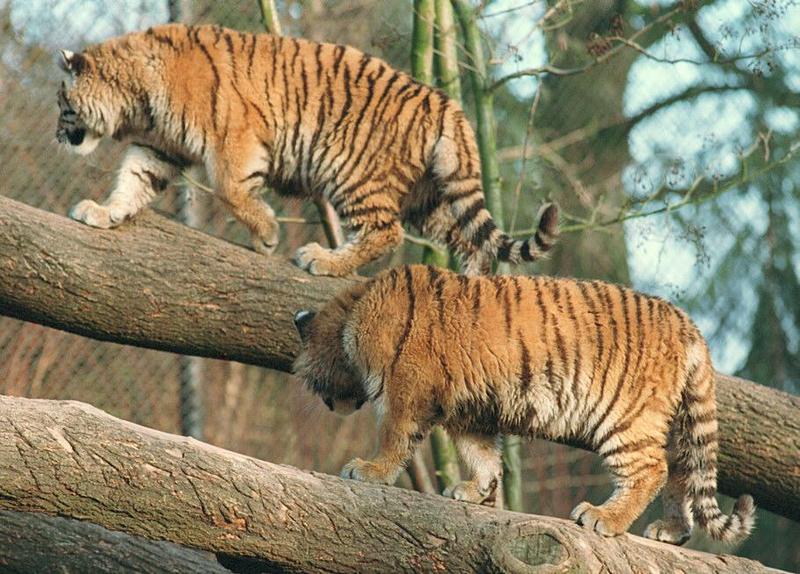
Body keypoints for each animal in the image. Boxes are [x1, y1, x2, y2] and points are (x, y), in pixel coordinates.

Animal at [54, 24, 556, 280]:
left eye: (62, 104)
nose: (57, 137)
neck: (137, 100)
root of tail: (446, 104)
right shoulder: (158, 147)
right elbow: (132, 181)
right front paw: (104, 212)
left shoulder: (235, 137)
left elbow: (229, 190)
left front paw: (267, 235)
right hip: (429, 197)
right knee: (470, 240)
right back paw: (468, 281)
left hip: (354, 172)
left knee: (385, 232)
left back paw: (322, 260)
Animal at [290, 266, 752, 544]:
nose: (329, 405)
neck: (354, 312)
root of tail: (688, 324)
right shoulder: (469, 411)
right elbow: (481, 455)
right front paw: (476, 490)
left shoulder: (406, 389)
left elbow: (394, 436)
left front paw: (369, 470)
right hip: (674, 426)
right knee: (680, 471)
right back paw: (670, 529)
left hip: (628, 416)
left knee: (651, 470)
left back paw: (604, 518)